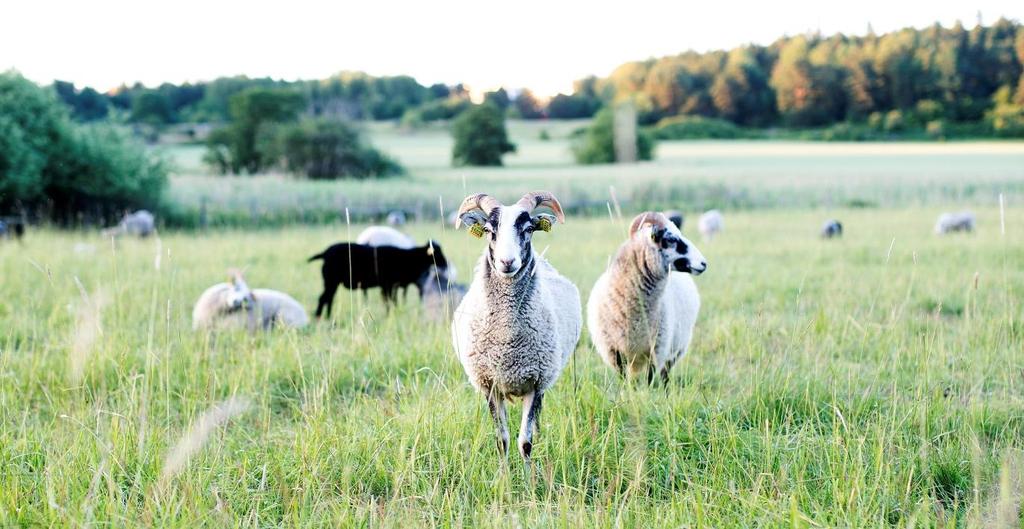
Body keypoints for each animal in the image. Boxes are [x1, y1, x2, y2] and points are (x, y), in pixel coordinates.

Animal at [305, 240, 446, 317]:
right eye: (437, 252)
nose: (445, 264)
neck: (408, 257)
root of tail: (325, 253)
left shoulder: (390, 286)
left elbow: (391, 302)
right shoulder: (388, 285)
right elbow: (389, 302)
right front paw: (390, 315)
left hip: (332, 282)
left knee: (329, 299)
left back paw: (328, 317)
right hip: (330, 281)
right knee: (323, 298)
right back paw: (320, 317)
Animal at [452, 190, 581, 462]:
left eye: (529, 228)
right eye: (489, 230)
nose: (507, 261)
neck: (507, 338)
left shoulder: (536, 383)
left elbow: (525, 442)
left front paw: (529, 473)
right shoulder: (490, 385)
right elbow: (502, 441)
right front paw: (503, 473)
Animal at [589, 210, 708, 382]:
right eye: (671, 239)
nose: (704, 263)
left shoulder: (656, 350)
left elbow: (649, 380)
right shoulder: (614, 351)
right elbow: (624, 380)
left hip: (675, 349)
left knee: (665, 375)